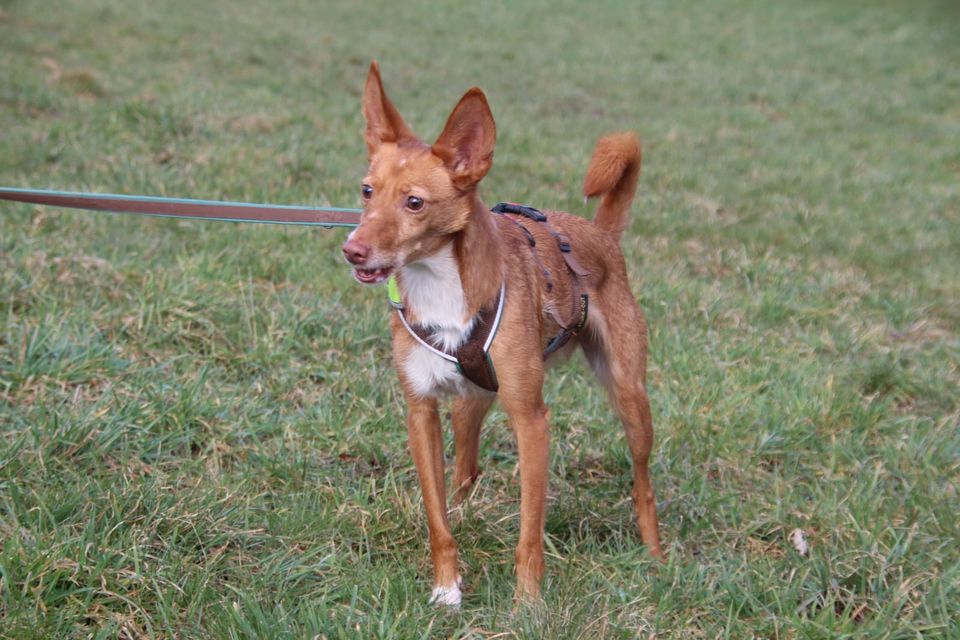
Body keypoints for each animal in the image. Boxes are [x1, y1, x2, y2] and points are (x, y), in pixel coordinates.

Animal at [340, 63, 660, 604]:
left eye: (414, 203)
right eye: (367, 191)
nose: (352, 250)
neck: (441, 285)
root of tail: (599, 232)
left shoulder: (531, 419)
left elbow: (530, 528)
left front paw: (528, 602)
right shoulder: (420, 411)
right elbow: (436, 517)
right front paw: (447, 589)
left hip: (629, 396)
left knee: (643, 482)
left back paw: (656, 554)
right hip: (470, 404)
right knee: (465, 471)